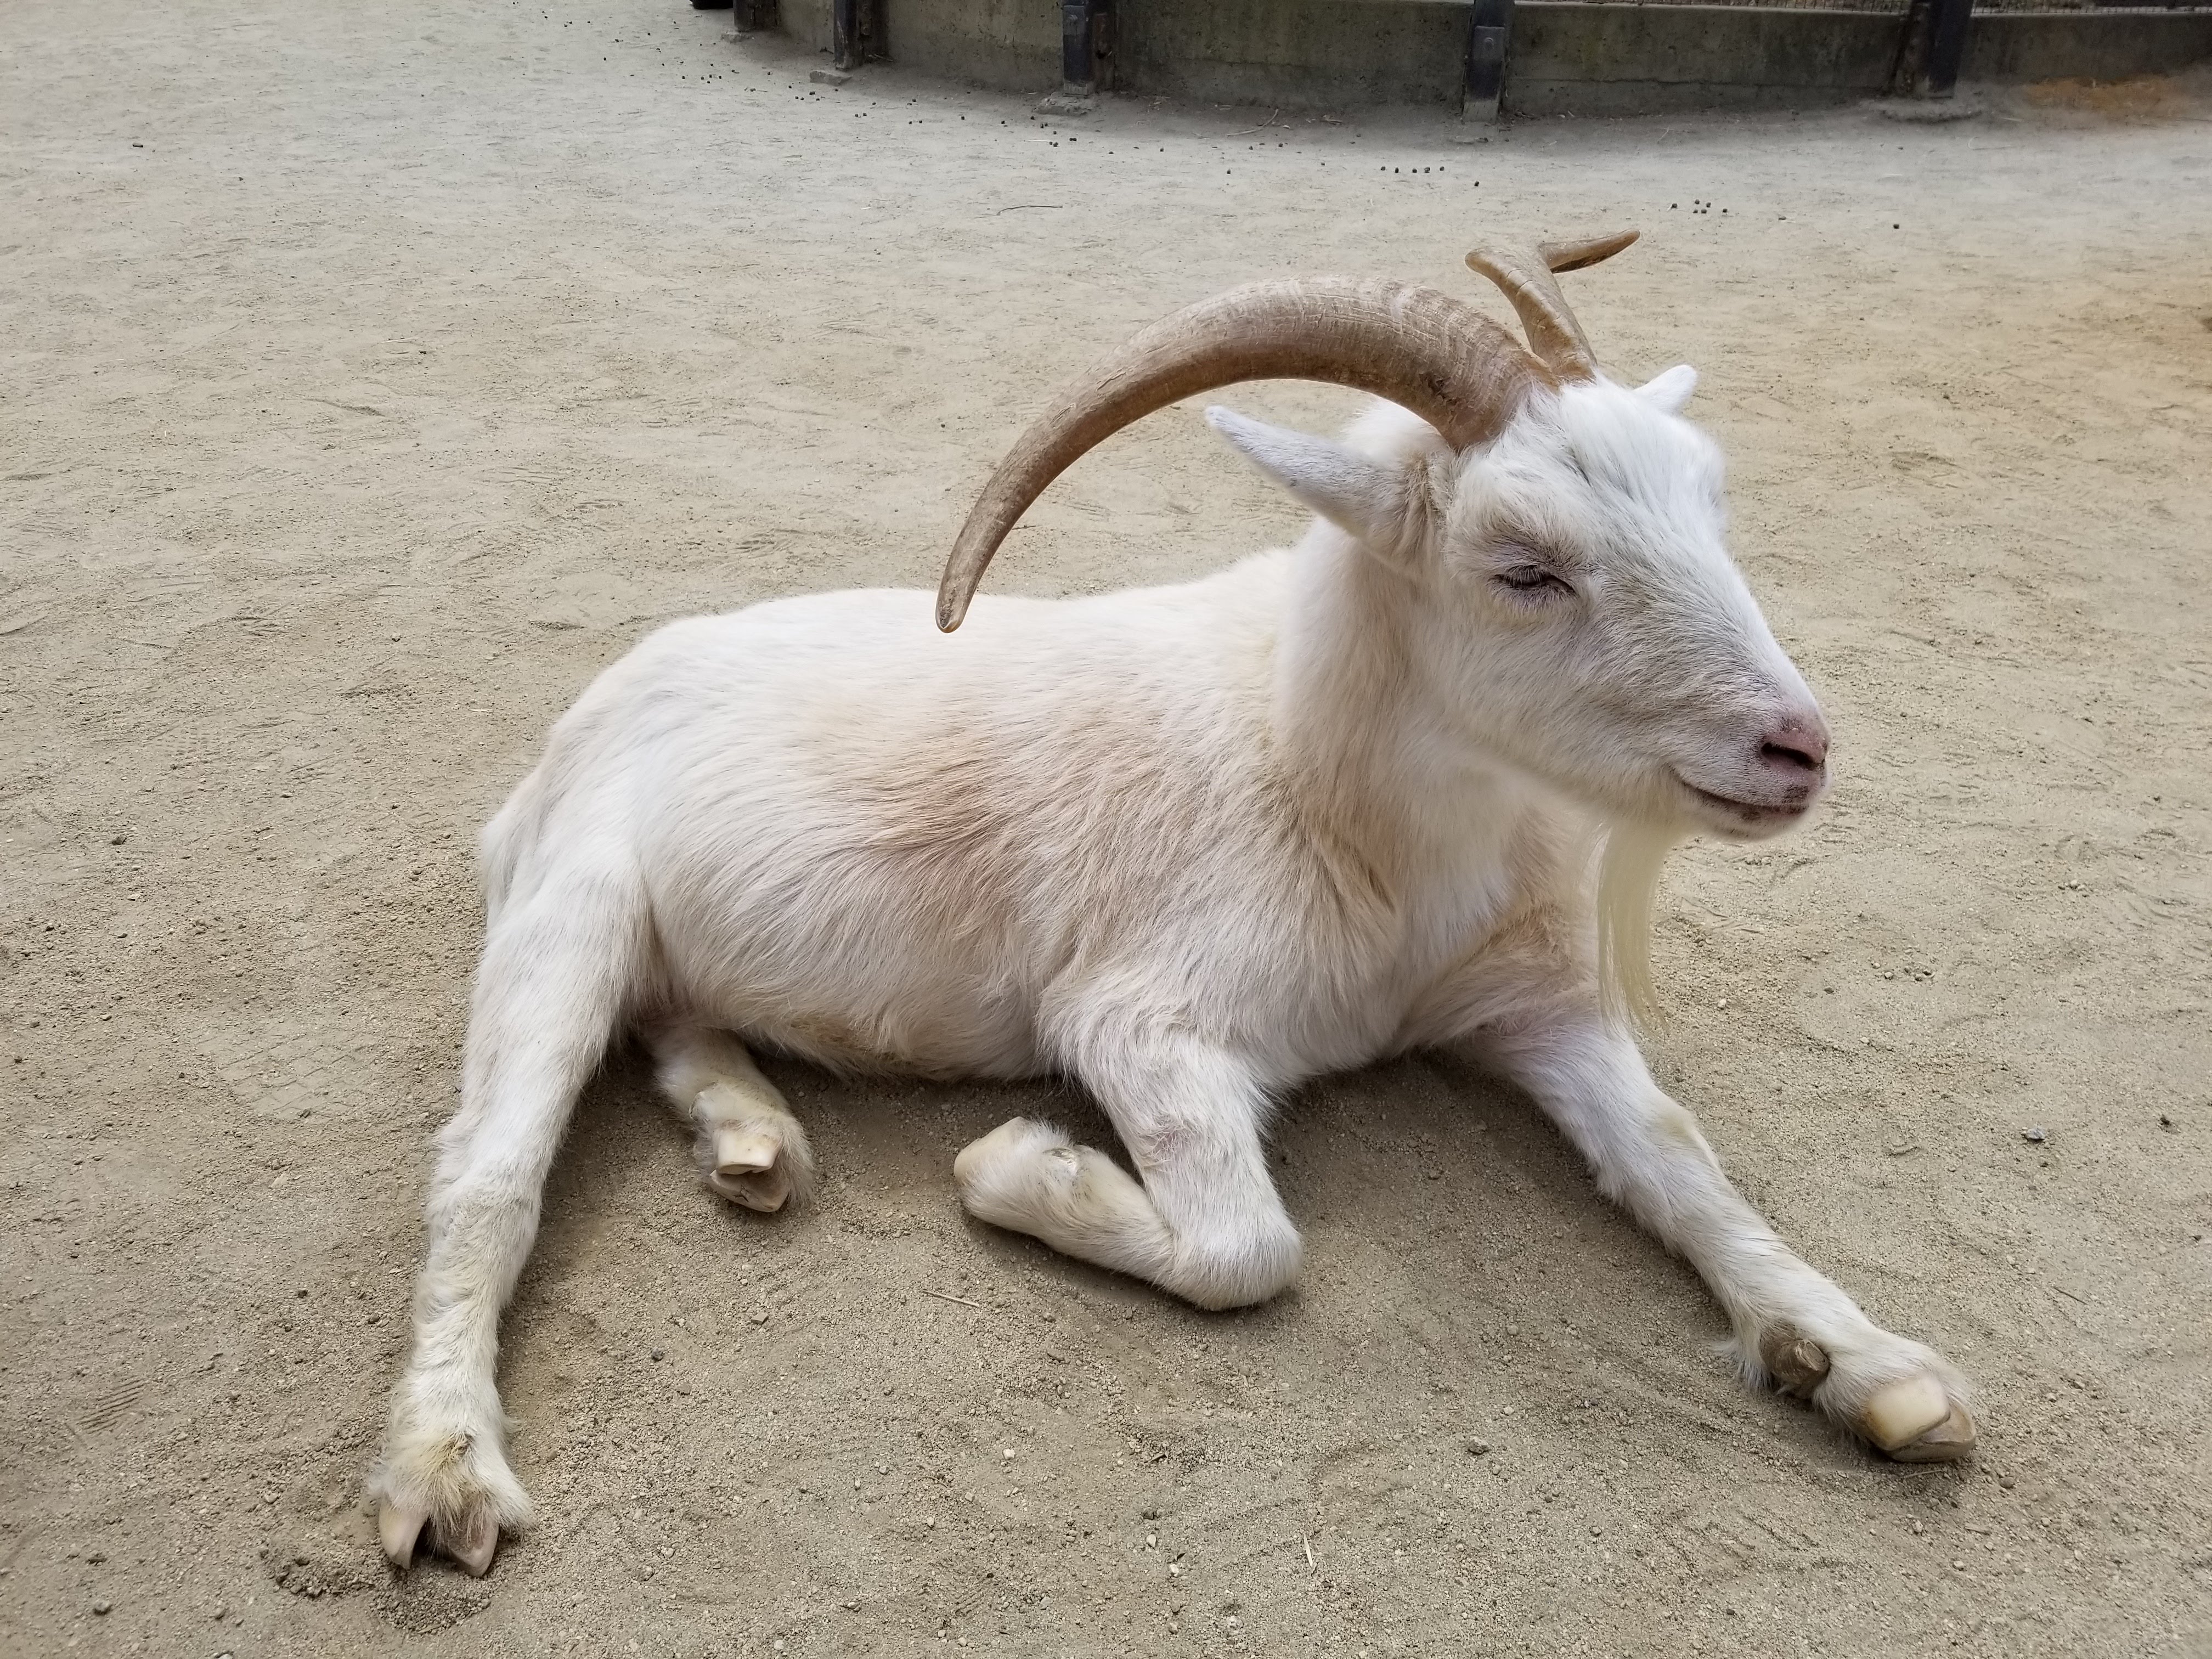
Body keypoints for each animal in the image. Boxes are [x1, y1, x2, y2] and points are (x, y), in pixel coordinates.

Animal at [371, 230, 1975, 1576]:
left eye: (1710, 497)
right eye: (1524, 568)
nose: (1797, 750)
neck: (1322, 784)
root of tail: (582, 722)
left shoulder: (1530, 1005)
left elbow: (1674, 1155)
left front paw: (1868, 1365)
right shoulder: (1139, 1018)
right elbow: (1248, 1251)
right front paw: (1025, 1167)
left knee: (676, 1023)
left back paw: (751, 1137)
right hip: (568, 919)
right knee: (488, 1175)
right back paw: (444, 1476)